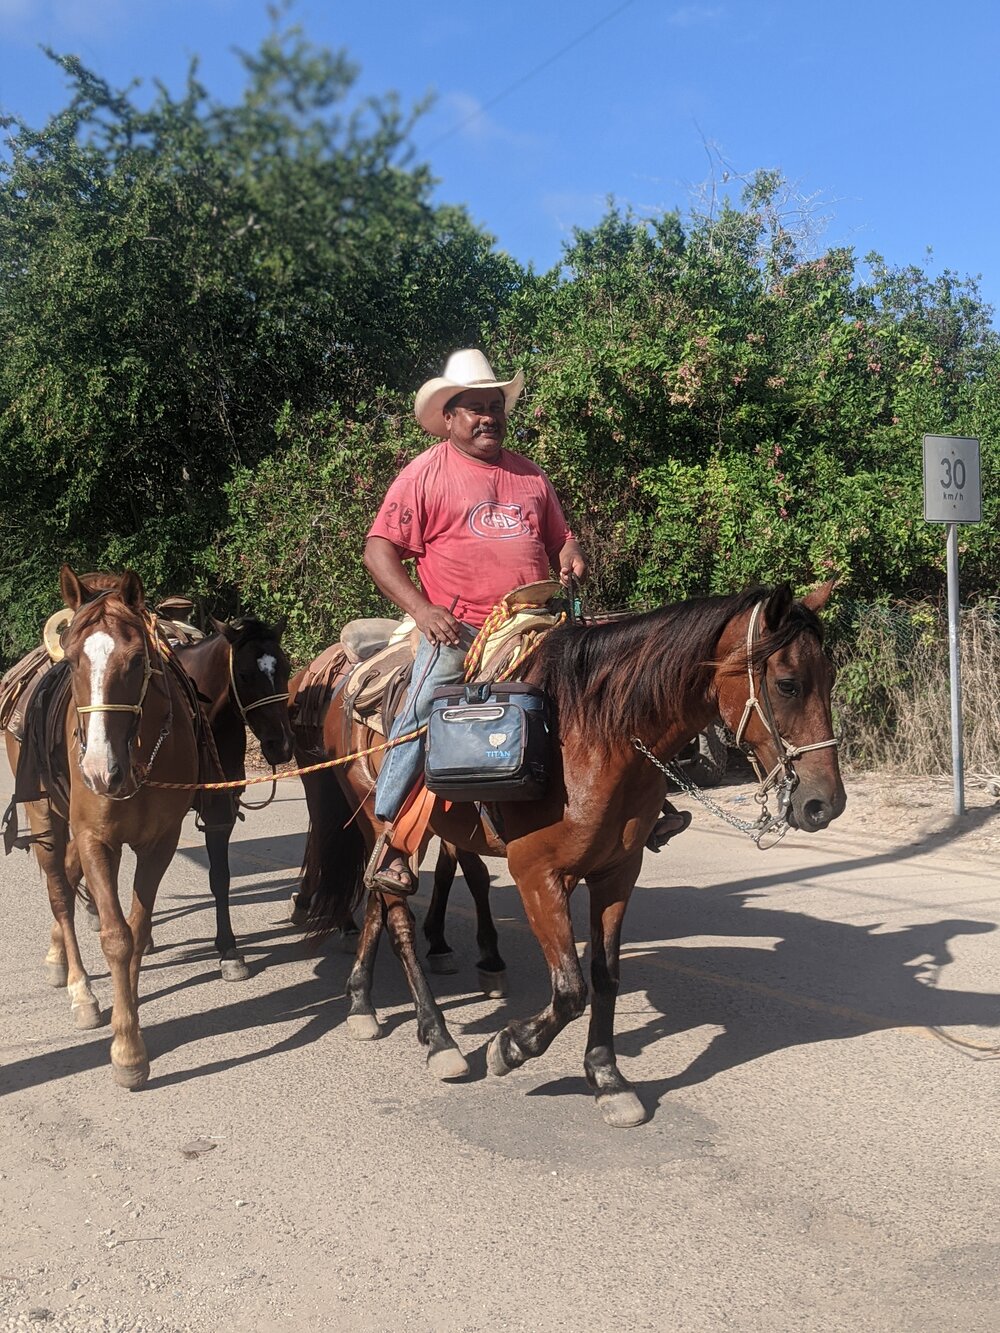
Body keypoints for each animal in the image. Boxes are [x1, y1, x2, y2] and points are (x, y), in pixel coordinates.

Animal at [2, 567, 202, 1087]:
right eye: (73, 660)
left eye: (136, 661)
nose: (96, 770)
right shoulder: (97, 841)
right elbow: (115, 936)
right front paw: (128, 1050)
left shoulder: (160, 844)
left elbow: (137, 928)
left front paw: (127, 1020)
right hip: (46, 818)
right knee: (59, 892)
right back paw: (80, 990)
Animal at [296, 581, 848, 1125]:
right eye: (788, 684)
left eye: (831, 677)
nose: (825, 804)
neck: (594, 737)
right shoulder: (537, 875)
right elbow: (569, 988)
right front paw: (510, 1047)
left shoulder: (618, 872)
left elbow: (604, 977)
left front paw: (607, 1077)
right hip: (378, 819)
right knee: (397, 920)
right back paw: (438, 1038)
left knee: (377, 898)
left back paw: (362, 1003)